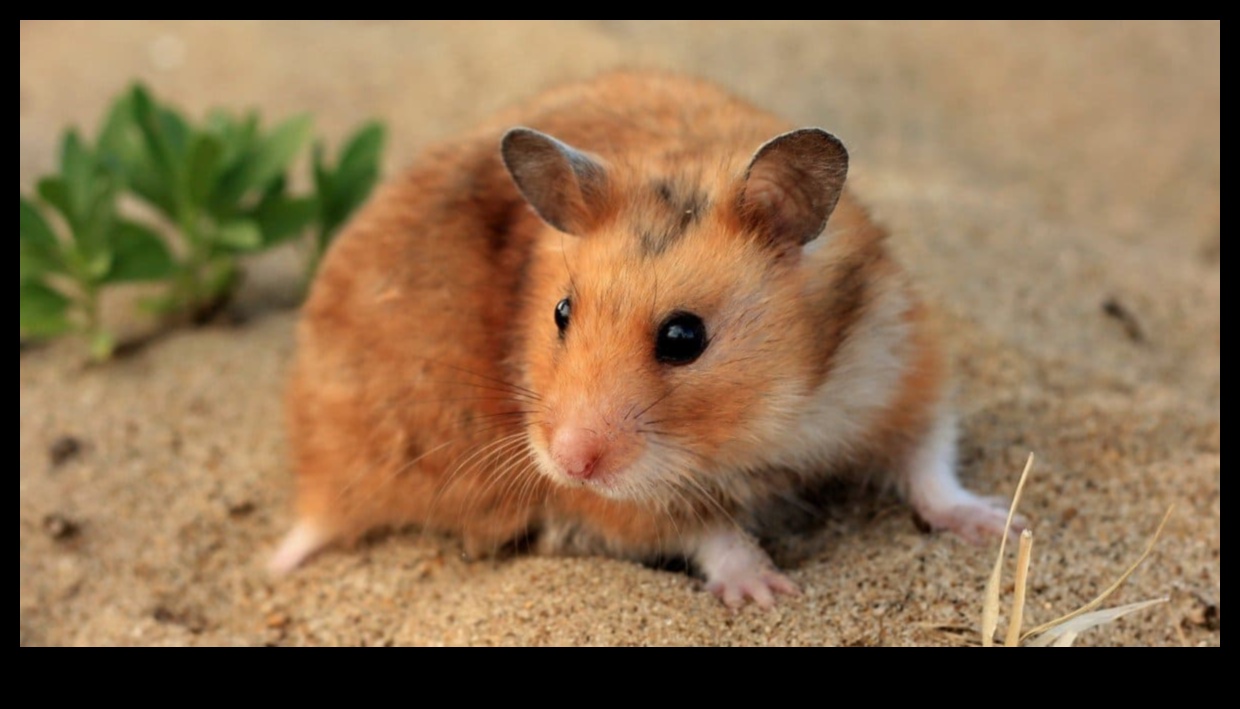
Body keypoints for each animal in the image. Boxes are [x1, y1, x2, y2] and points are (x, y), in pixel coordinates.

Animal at [272, 71, 1021, 608]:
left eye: (685, 336)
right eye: (561, 312)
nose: (567, 462)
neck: (772, 420)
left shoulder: (901, 368)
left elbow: (930, 466)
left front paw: (1001, 527)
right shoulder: (614, 505)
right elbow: (709, 530)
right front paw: (768, 594)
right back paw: (275, 562)